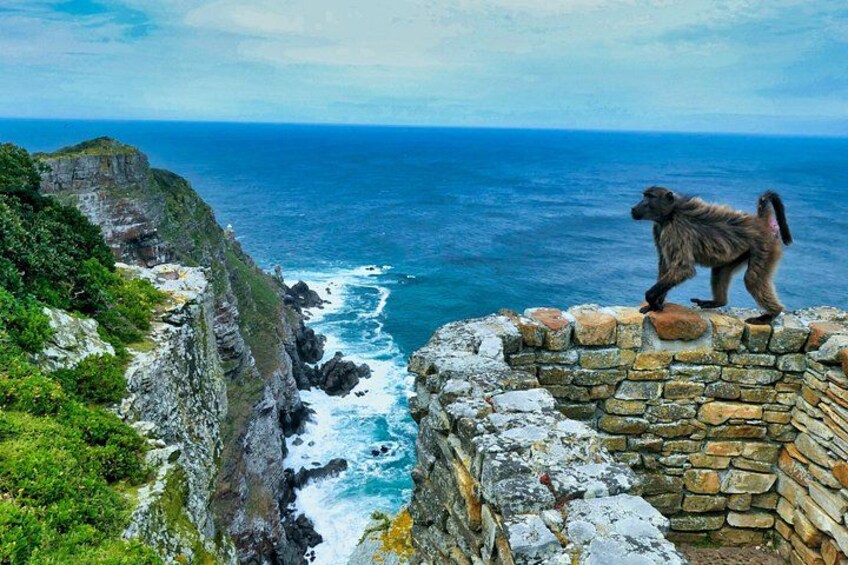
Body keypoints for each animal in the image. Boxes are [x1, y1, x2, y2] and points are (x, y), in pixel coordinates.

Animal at [631, 186, 792, 325]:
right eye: (644, 196)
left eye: (649, 197)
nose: (634, 208)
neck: (671, 213)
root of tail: (760, 222)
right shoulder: (659, 230)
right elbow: (665, 265)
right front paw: (656, 303)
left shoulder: (675, 231)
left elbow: (683, 269)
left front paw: (651, 298)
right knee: (720, 270)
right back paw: (718, 302)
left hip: (765, 247)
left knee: (752, 279)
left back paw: (771, 314)